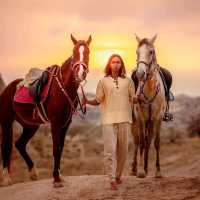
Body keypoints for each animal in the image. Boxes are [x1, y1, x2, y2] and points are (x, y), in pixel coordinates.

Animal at [0, 34, 92, 188]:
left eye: (88, 53)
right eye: (74, 52)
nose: (80, 74)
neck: (64, 88)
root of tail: (8, 88)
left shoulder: (65, 124)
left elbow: (60, 148)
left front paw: (59, 175)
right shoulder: (55, 123)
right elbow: (56, 148)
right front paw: (56, 179)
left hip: (30, 125)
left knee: (19, 144)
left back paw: (33, 173)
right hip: (6, 122)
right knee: (6, 146)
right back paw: (6, 178)